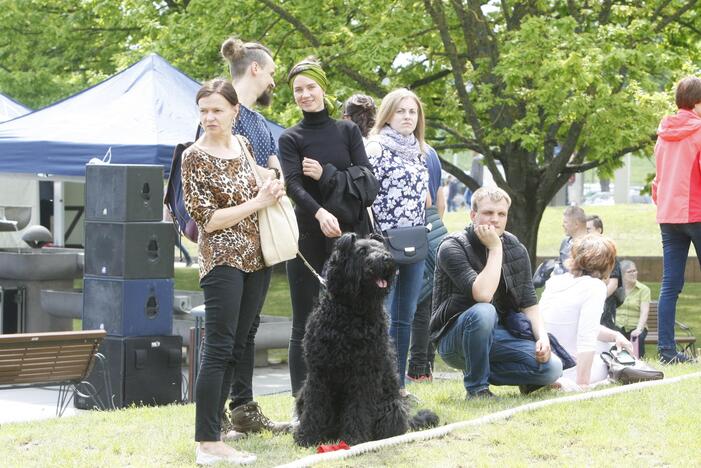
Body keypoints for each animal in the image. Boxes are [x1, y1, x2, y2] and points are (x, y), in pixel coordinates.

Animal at [294, 234, 438, 446]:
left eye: (382, 248)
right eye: (362, 252)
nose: (387, 259)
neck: (351, 311)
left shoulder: (364, 373)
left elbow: (358, 408)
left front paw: (354, 438)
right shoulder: (319, 372)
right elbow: (315, 406)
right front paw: (307, 436)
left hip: (392, 408)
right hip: (302, 394)